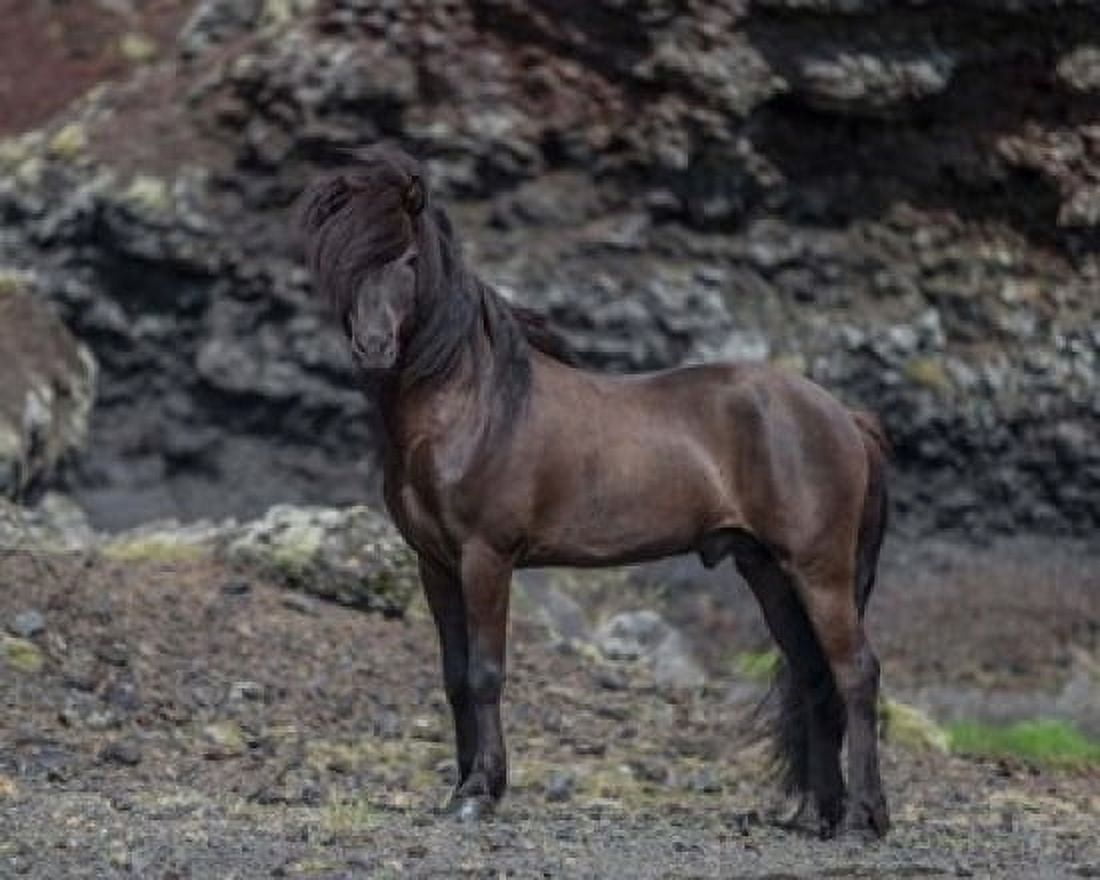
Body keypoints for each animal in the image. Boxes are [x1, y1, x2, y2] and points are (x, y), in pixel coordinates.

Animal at [298, 145, 891, 838]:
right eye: (345, 261)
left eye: (410, 259)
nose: (373, 347)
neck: (473, 407)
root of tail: (844, 416)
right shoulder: (435, 564)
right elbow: (453, 677)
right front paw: (459, 789)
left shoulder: (486, 557)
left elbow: (485, 673)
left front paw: (480, 793)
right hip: (768, 571)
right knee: (815, 675)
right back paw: (819, 815)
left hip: (818, 570)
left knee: (856, 673)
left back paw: (863, 818)